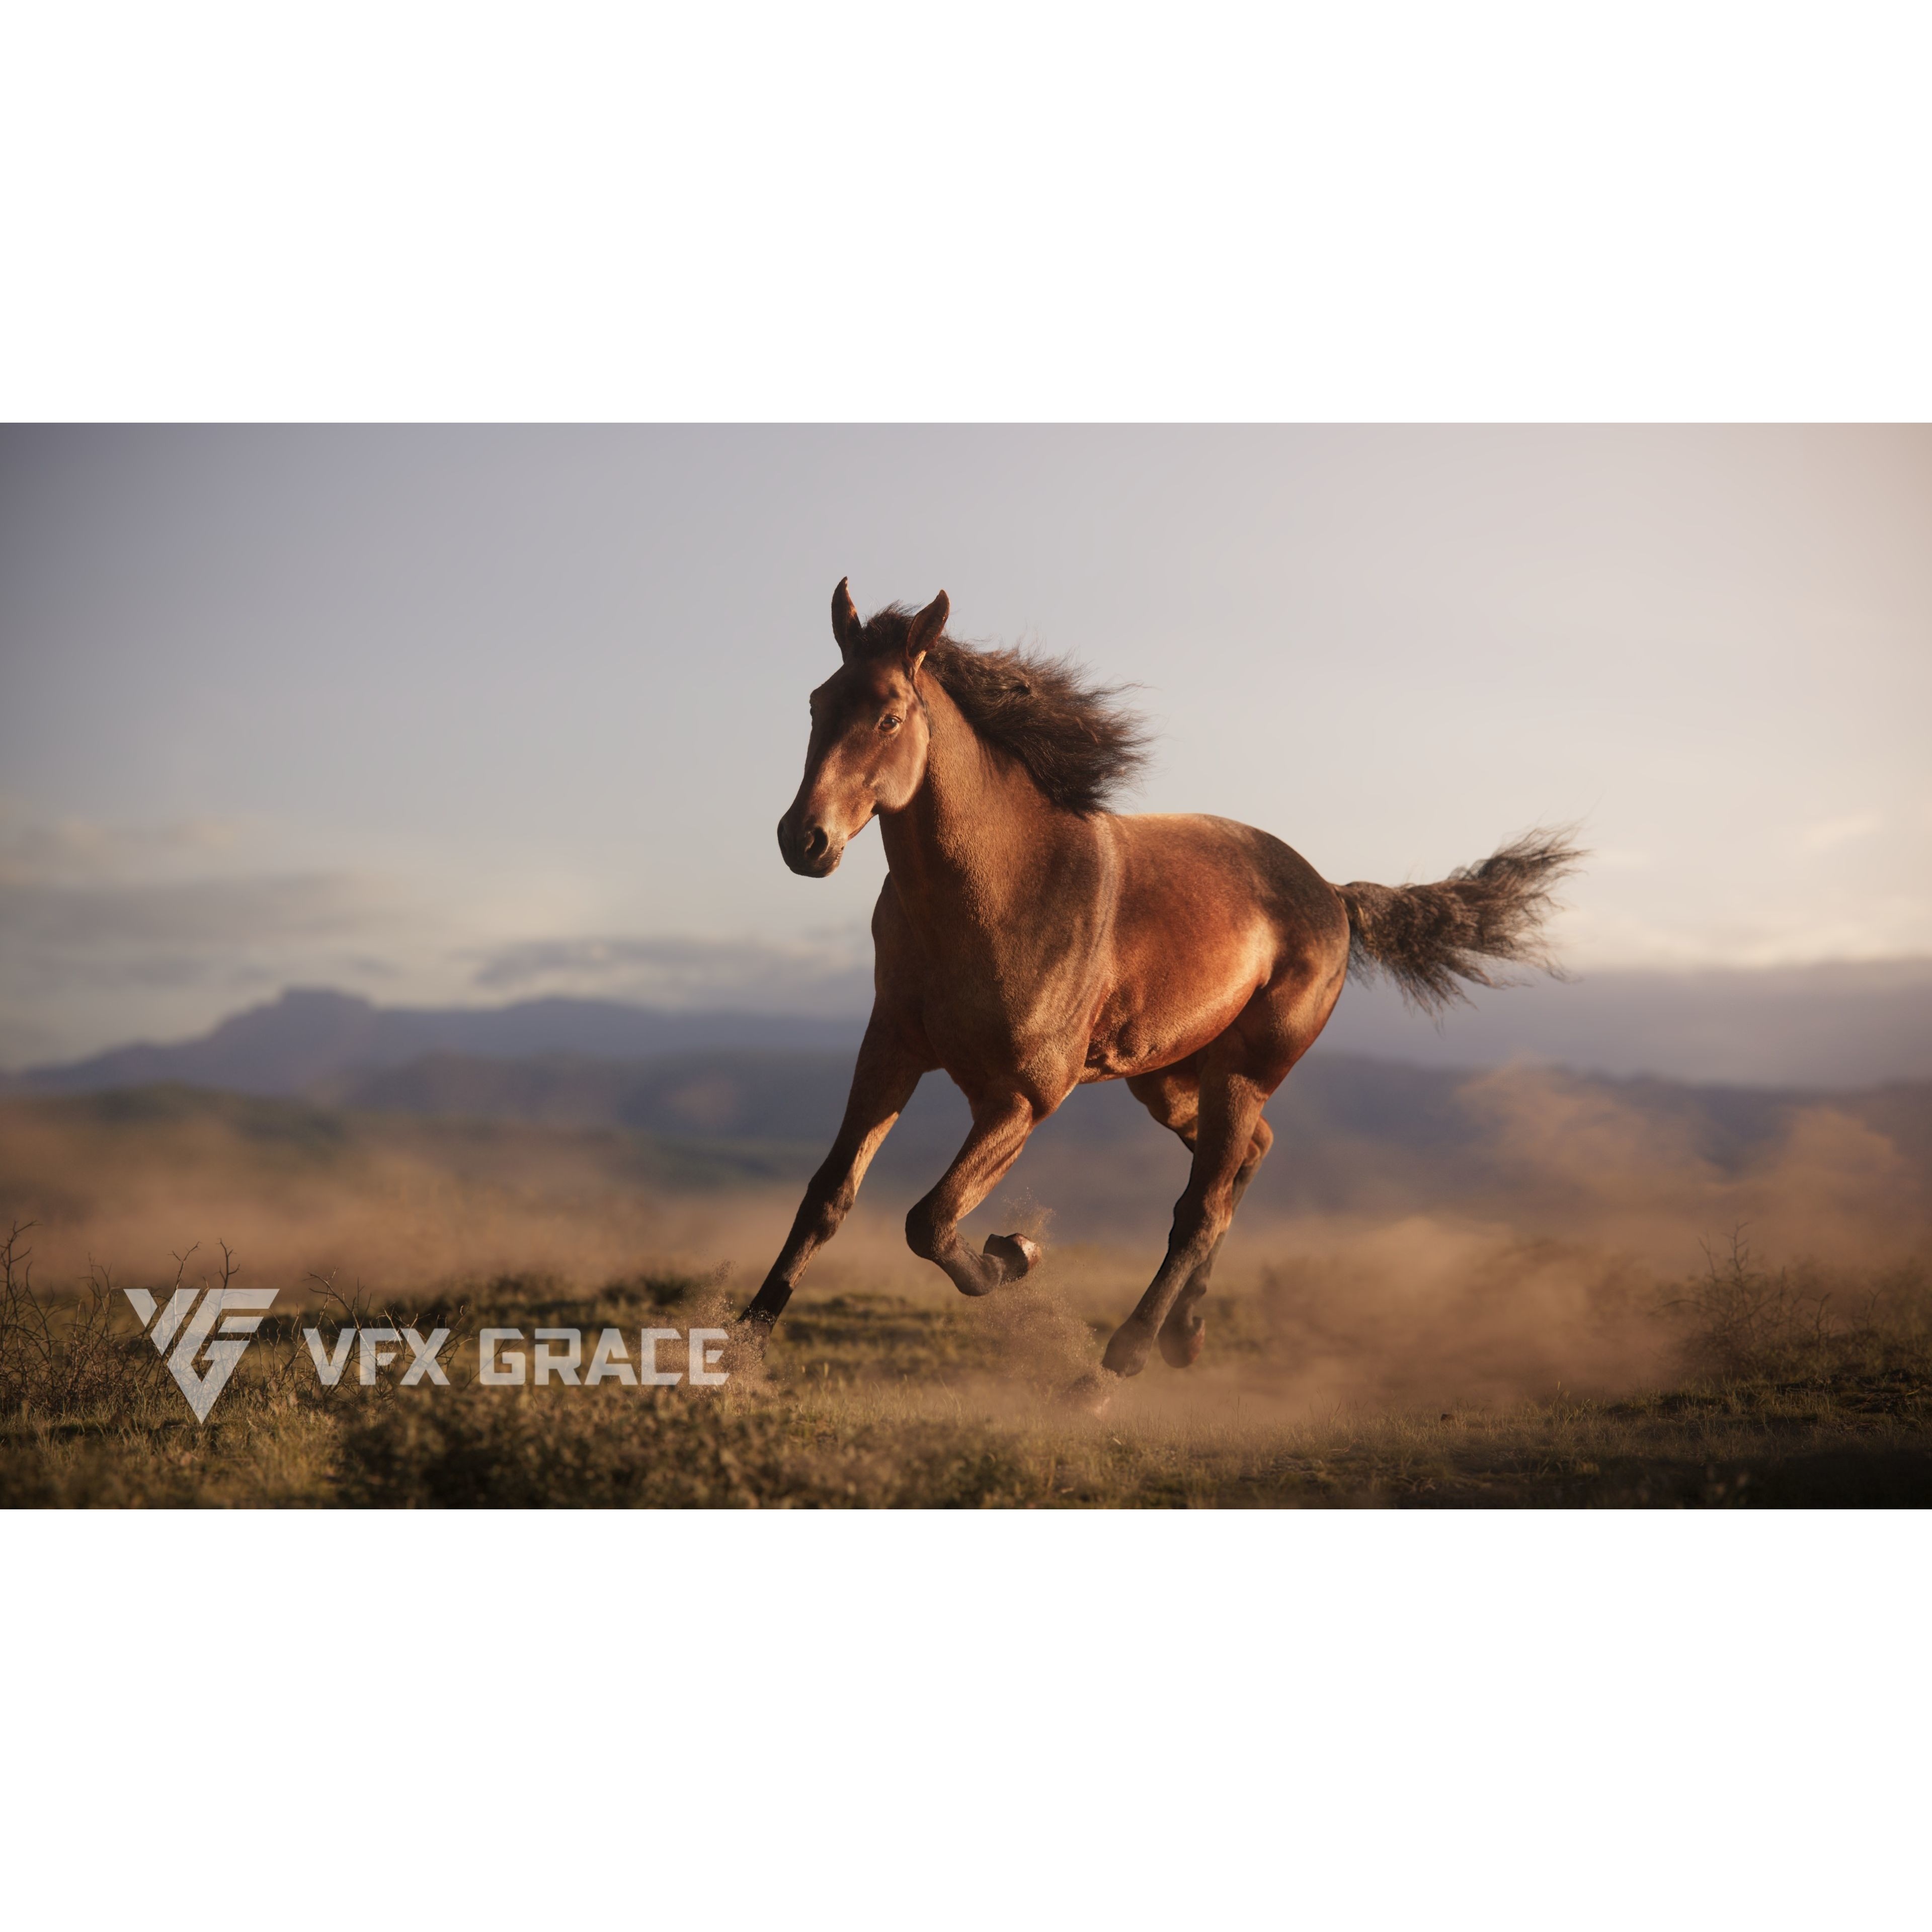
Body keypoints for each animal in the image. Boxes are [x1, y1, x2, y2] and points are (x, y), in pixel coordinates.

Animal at [741, 580, 1580, 1389]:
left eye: (887, 717)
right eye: (817, 703)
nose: (803, 839)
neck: (999, 891)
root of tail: (1334, 896)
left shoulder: (1024, 1097)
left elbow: (932, 1219)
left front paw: (1017, 1253)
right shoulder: (891, 1050)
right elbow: (830, 1195)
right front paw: (746, 1345)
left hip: (1240, 1073)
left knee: (1201, 1207)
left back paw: (1122, 1359)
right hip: (1172, 1082)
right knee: (1246, 1162)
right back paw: (1186, 1331)